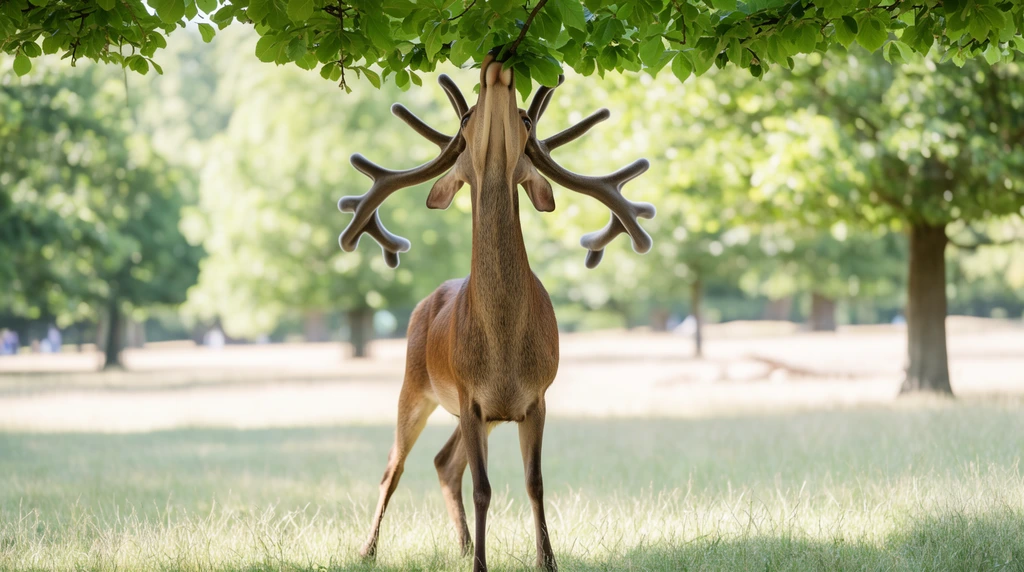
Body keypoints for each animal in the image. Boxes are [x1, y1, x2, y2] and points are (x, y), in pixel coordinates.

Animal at [337, 54, 655, 572]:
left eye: (526, 120)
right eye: (466, 118)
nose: (497, 66)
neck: (503, 345)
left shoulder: (537, 397)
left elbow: (534, 482)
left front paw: (547, 560)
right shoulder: (469, 396)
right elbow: (485, 488)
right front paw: (483, 566)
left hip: (480, 416)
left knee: (444, 462)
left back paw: (463, 544)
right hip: (414, 384)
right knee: (393, 466)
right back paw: (369, 549)